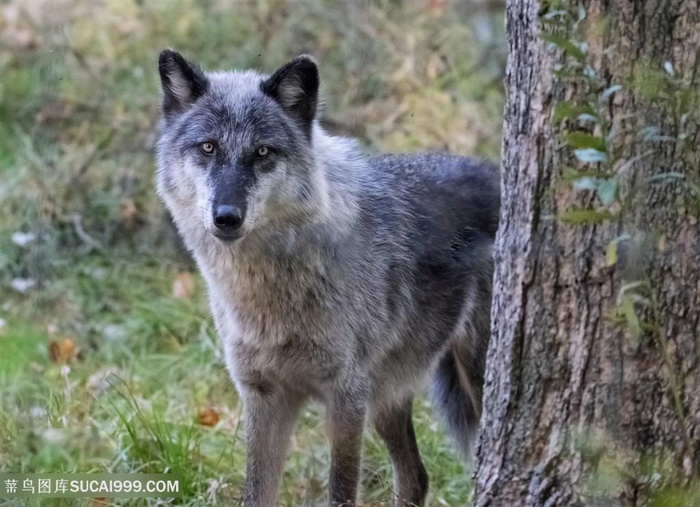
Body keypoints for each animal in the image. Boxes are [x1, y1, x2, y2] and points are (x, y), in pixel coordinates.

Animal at [156, 50, 500, 507]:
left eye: (262, 152)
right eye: (208, 147)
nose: (226, 217)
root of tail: (497, 172)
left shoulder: (346, 398)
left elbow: (341, 489)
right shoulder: (264, 398)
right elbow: (255, 492)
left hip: (468, 381)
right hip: (387, 397)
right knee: (416, 477)